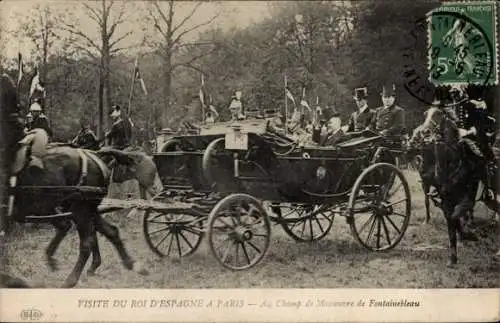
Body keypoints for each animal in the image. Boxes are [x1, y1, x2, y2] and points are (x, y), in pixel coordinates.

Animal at [0, 74, 148, 288]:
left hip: (80, 209)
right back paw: (129, 264)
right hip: (83, 209)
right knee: (108, 231)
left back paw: (71, 278)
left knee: (86, 241)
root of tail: (96, 158)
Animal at [416, 106, 498, 266]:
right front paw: (453, 258)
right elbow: (451, 227)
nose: (424, 132)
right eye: (425, 114)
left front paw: (468, 234)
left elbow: (456, 216)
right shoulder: (446, 201)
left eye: (439, 115)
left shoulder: (467, 200)